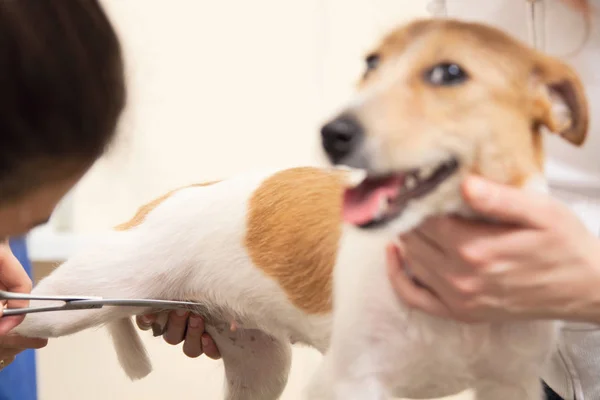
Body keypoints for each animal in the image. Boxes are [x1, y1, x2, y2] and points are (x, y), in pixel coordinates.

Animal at [14, 18, 592, 400]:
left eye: (449, 73)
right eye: (371, 65)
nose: (335, 132)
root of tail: (161, 201)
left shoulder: (509, 384)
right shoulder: (348, 382)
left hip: (262, 366)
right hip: (73, 300)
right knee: (21, 319)